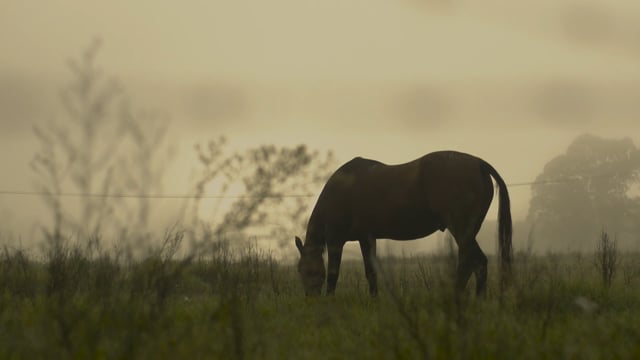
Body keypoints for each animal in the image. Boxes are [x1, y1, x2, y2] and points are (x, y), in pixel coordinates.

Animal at [294, 150, 510, 296]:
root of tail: (478, 164)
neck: (340, 190)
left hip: (461, 229)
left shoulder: (335, 240)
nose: (310, 298)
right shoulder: (366, 239)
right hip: (467, 232)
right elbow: (371, 272)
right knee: (469, 263)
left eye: (304, 270)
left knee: (477, 262)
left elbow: (333, 274)